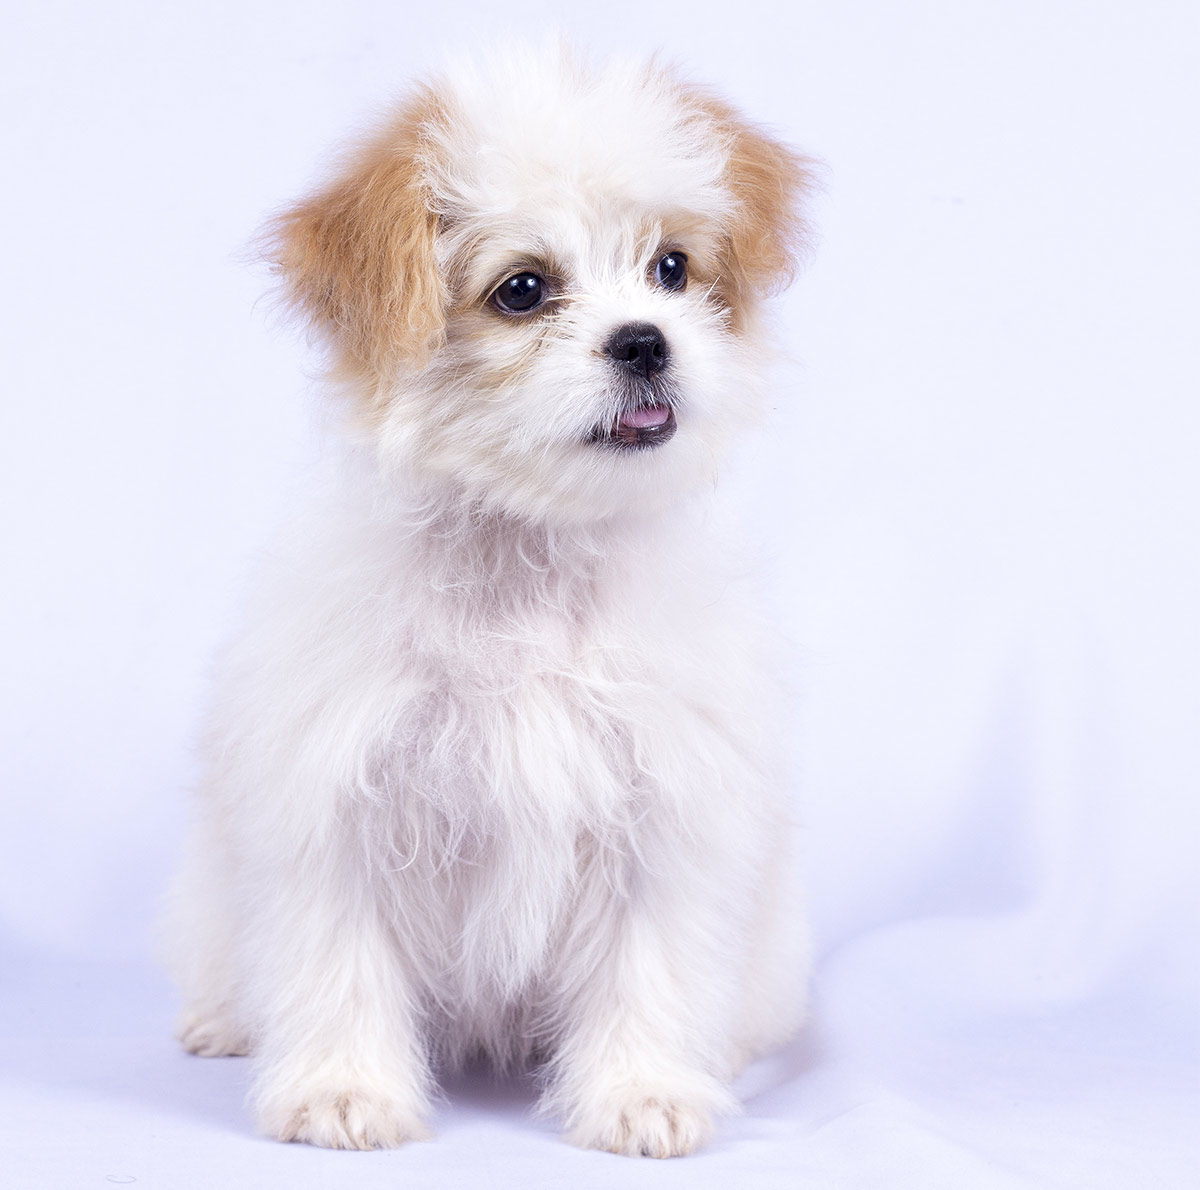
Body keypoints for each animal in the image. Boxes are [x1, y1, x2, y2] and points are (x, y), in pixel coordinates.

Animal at [164, 48, 811, 1161]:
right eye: (522, 290)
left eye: (672, 268)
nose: (644, 341)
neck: (528, 557)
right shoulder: (339, 797)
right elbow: (339, 956)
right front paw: (343, 1090)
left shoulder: (663, 805)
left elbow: (649, 959)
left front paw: (641, 1091)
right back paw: (222, 1019)